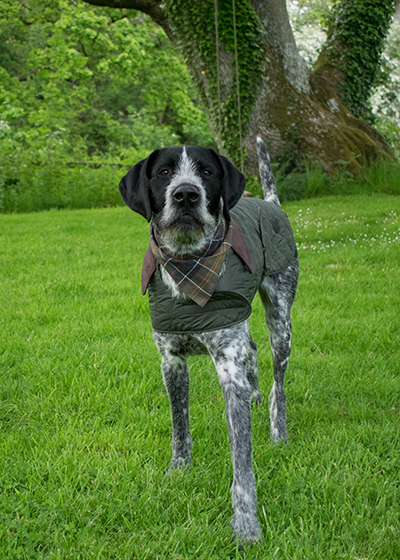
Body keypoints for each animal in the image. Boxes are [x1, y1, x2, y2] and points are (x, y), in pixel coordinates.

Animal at [120, 139, 298, 548]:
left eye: (206, 171)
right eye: (164, 172)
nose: (186, 194)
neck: (189, 267)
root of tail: (271, 203)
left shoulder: (228, 368)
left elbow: (242, 462)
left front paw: (246, 524)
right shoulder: (171, 361)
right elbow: (179, 427)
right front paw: (178, 470)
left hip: (280, 323)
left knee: (278, 382)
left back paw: (277, 430)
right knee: (252, 351)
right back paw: (255, 393)